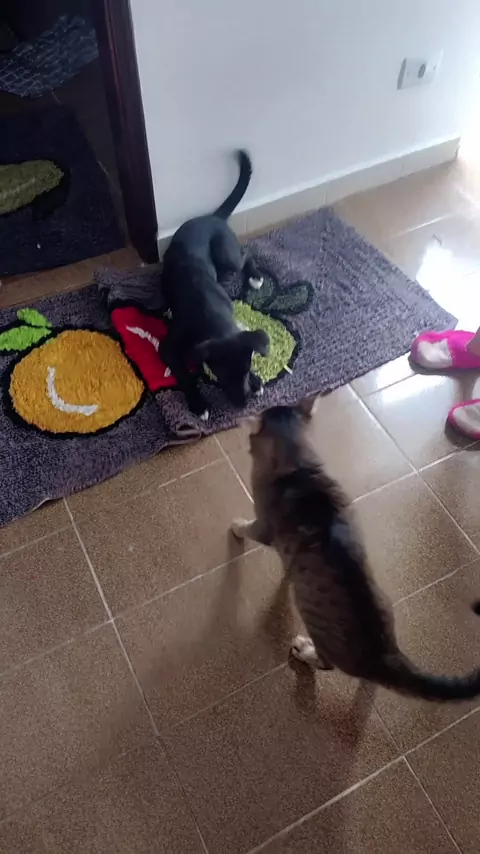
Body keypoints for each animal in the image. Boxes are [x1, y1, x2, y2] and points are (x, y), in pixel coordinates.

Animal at [160, 150, 269, 419]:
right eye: (222, 375)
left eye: (246, 370)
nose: (243, 404)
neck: (210, 316)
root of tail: (212, 217)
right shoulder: (167, 347)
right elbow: (184, 374)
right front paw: (198, 404)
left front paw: (256, 382)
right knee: (246, 252)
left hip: (226, 254)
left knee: (246, 253)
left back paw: (254, 276)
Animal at [231, 399, 480, 701]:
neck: (299, 469)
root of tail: (384, 658)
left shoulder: (263, 526)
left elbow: (247, 529)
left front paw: (235, 526)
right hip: (386, 603)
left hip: (316, 626)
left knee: (326, 663)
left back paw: (304, 650)